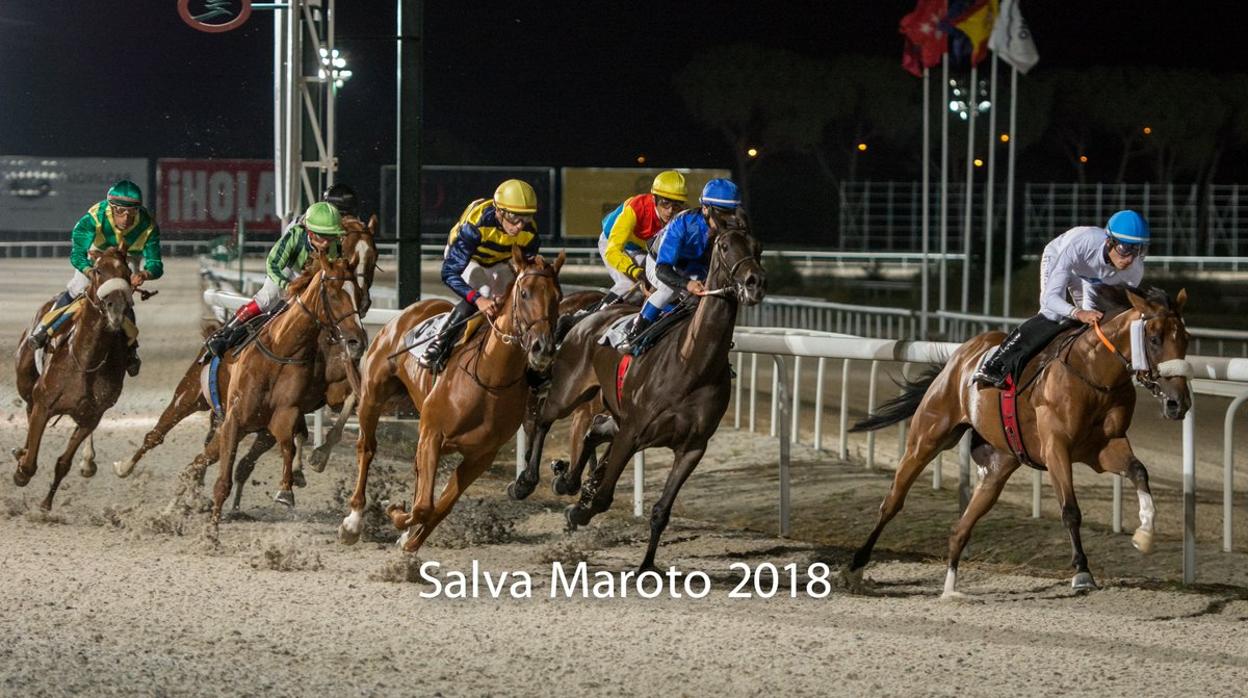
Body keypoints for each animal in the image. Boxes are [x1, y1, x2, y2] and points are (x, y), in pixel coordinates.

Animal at [12, 248, 151, 511]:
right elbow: (30, 462)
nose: (116, 307)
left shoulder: (91, 417)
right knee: (28, 406)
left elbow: (63, 463)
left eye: (127, 272)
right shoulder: (44, 404)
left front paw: (46, 503)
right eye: (97, 270)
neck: (86, 359)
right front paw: (21, 471)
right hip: (25, 379)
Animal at [194, 253, 364, 521]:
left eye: (358, 292)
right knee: (201, 459)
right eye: (334, 293)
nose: (358, 341)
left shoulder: (289, 409)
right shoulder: (235, 417)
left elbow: (290, 442)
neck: (281, 348)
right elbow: (224, 479)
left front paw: (289, 486)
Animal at [336, 247, 561, 551]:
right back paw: (353, 522)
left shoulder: (480, 456)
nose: (543, 348)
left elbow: (439, 506)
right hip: (373, 396)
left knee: (417, 473)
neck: (490, 379)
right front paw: (396, 515)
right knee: (367, 448)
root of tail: (410, 311)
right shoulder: (433, 433)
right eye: (524, 293)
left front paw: (410, 540)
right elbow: (423, 507)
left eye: (557, 296)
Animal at [511, 214, 763, 574]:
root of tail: (587, 317)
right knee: (545, 418)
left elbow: (661, 511)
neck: (691, 363)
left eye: (759, 246)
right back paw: (526, 481)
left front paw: (647, 564)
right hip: (569, 391)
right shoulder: (632, 432)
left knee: (592, 431)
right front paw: (579, 510)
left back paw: (566, 480)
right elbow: (604, 495)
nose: (754, 282)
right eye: (726, 246)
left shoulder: (692, 447)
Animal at [848, 287, 1188, 599]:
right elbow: (1070, 509)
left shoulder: (1103, 447)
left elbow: (1139, 471)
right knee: (893, 500)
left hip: (999, 464)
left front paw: (1145, 533)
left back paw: (950, 589)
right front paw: (1082, 571)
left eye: (1185, 338)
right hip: (927, 436)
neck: (1093, 371)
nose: (1178, 403)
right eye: (1154, 338)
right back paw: (855, 567)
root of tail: (961, 355)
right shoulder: (1056, 448)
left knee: (960, 528)